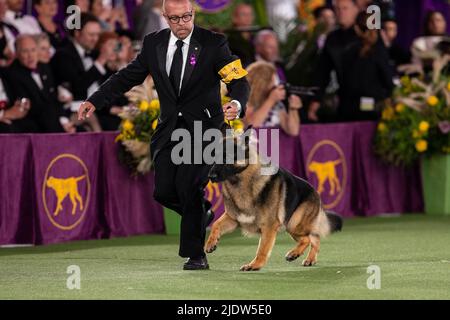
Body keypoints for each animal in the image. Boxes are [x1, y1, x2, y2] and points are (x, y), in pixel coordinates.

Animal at [206, 129, 342, 272]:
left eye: (226, 157)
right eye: (213, 158)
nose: (210, 176)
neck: (241, 181)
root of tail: (315, 191)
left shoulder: (269, 227)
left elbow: (262, 249)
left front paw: (254, 265)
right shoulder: (233, 218)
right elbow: (216, 224)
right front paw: (210, 243)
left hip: (294, 223)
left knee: (311, 238)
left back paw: (302, 256)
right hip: (292, 226)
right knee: (310, 239)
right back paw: (302, 256)